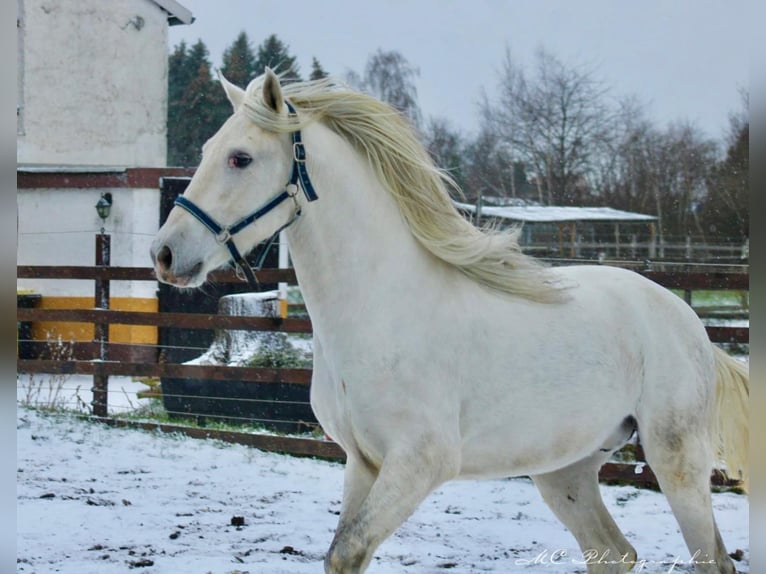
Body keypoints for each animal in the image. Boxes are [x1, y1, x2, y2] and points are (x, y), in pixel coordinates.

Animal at [150, 70, 752, 572]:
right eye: (208, 151)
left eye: (241, 159)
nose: (164, 254)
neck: (379, 310)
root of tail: (687, 320)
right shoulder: (362, 462)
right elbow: (343, 551)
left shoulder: (420, 463)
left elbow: (347, 551)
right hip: (566, 469)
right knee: (615, 553)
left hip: (677, 459)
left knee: (712, 560)